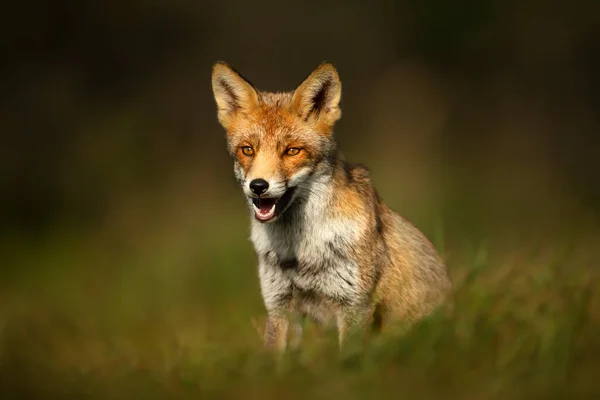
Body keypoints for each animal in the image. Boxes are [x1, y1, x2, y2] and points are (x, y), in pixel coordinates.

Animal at [211, 61, 450, 352]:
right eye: (247, 150)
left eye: (292, 151)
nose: (258, 186)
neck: (301, 253)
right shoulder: (279, 305)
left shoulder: (354, 306)